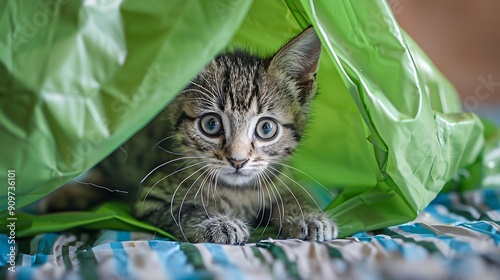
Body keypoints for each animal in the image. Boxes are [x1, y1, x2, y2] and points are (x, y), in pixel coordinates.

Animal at [43, 27, 336, 244]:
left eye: (266, 128)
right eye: (211, 124)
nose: (238, 160)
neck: (240, 192)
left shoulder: (284, 176)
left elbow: (293, 193)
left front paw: (308, 215)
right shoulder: (152, 197)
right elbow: (184, 209)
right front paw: (217, 222)